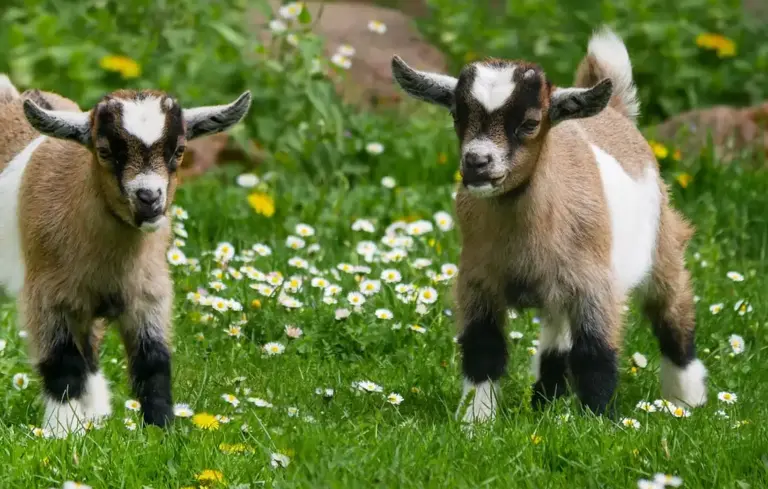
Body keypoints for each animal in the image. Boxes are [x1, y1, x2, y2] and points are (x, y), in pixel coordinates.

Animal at [0, 75, 251, 436]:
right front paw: (61, 432)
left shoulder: (149, 294)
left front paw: (161, 430)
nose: (149, 198)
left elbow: (154, 362)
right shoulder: (47, 296)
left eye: (179, 150)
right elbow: (61, 363)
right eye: (105, 151)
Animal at [391, 28, 707, 422]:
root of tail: (615, 112)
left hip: (662, 245)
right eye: (456, 116)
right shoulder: (477, 281)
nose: (477, 162)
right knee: (557, 338)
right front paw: (475, 421)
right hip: (558, 291)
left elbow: (595, 355)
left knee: (672, 314)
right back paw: (546, 401)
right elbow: (483, 349)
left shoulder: (595, 286)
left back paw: (686, 401)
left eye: (529, 123)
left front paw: (599, 421)